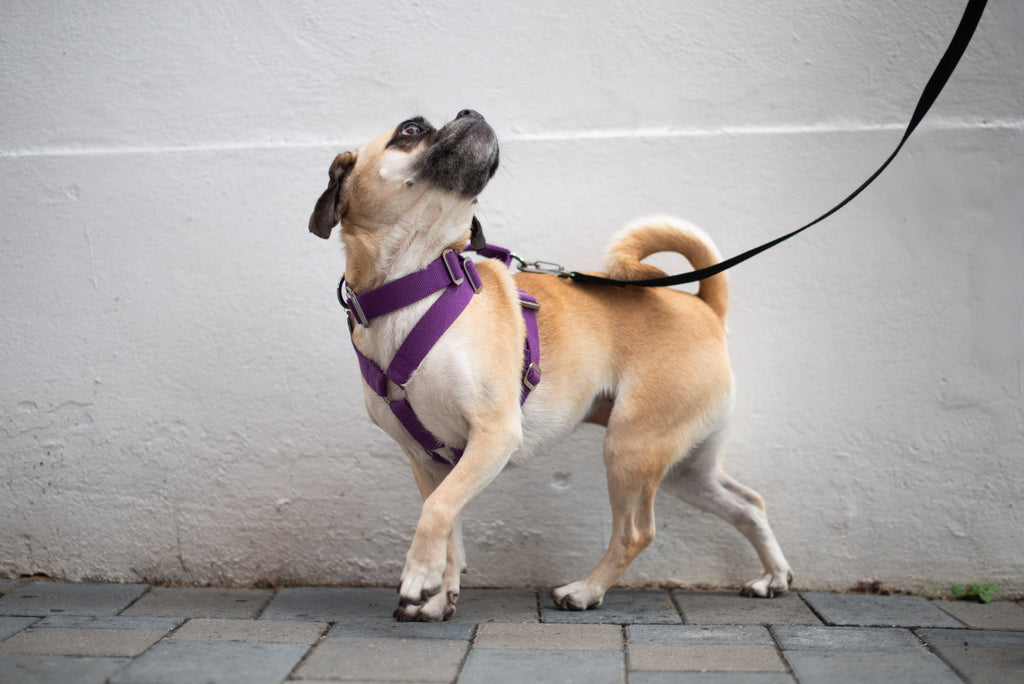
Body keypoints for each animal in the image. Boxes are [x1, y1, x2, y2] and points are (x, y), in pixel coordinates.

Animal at [307, 111, 794, 618]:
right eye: (411, 130)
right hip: (684, 467)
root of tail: (703, 306)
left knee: (635, 533)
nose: (470, 112)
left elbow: (436, 511)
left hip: (631, 447)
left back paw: (585, 591)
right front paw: (439, 596)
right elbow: (450, 531)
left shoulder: (494, 437)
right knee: (748, 504)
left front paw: (419, 575)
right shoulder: (430, 463)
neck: (417, 284)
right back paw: (774, 577)